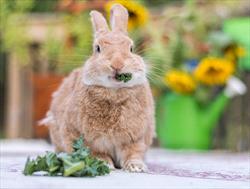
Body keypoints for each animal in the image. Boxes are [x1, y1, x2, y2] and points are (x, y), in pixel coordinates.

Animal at [42, 3, 155, 172]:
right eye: (98, 48)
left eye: (131, 48)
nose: (117, 64)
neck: (114, 91)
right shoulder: (83, 137)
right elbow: (95, 152)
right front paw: (104, 163)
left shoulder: (136, 138)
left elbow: (133, 153)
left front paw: (136, 167)